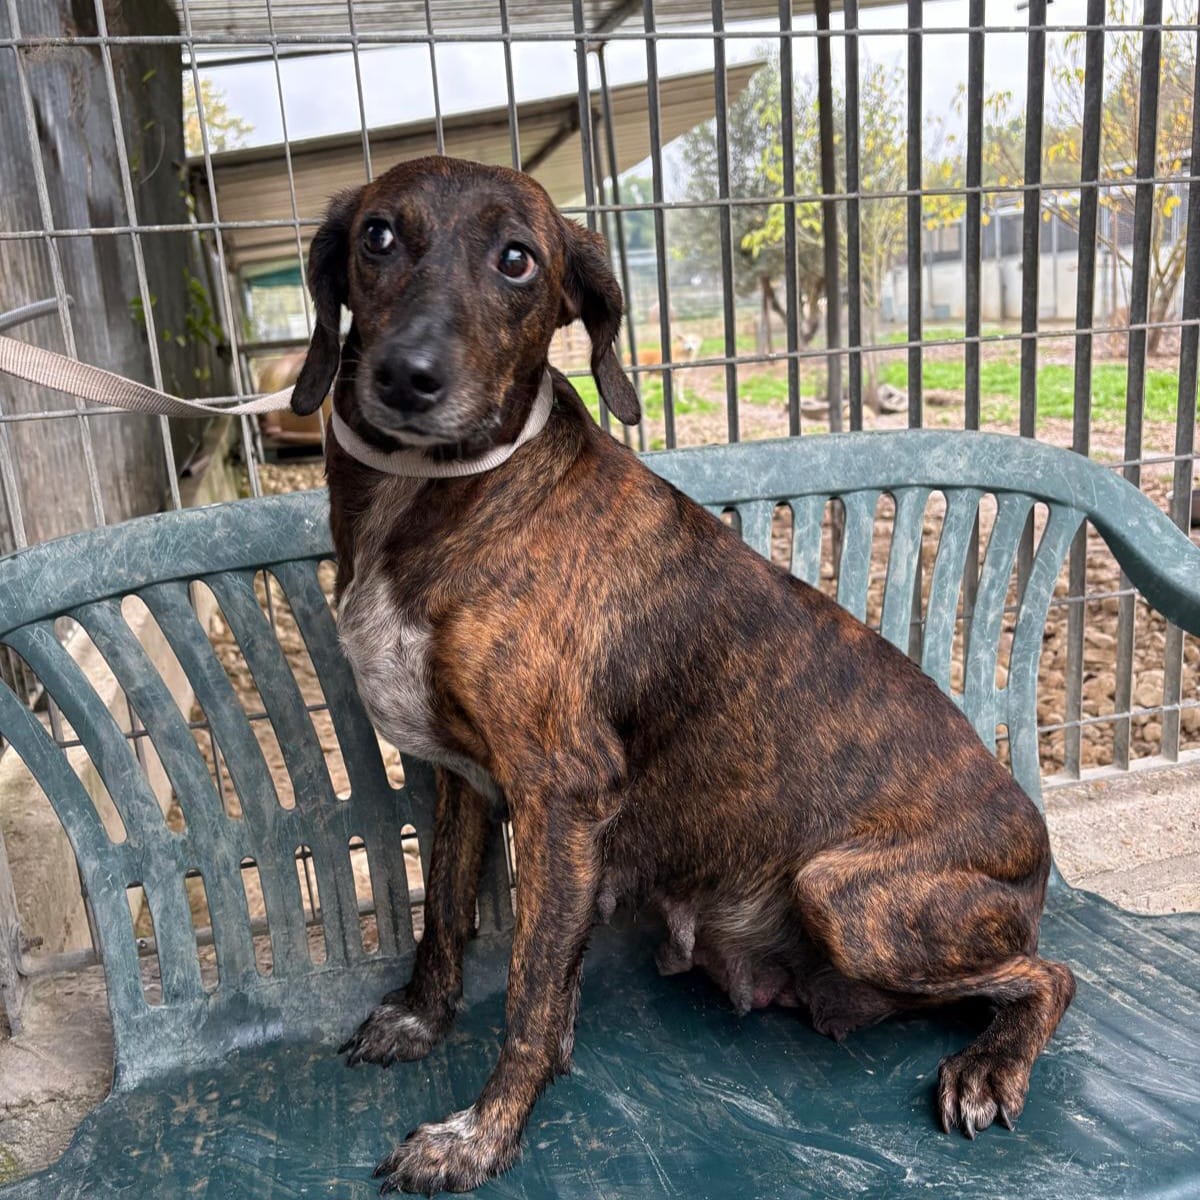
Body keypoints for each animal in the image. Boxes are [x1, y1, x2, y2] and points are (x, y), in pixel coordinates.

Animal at [288, 156, 1075, 1195]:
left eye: (517, 260)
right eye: (377, 236)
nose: (409, 376)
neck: (443, 493)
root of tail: (1038, 842)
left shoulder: (560, 794)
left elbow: (530, 996)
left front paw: (480, 1137)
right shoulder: (468, 783)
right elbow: (447, 919)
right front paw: (422, 1018)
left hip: (850, 896)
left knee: (1053, 975)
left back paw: (988, 1066)